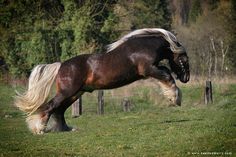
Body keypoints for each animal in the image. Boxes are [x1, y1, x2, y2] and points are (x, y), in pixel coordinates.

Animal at [14, 27, 190, 134]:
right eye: (184, 59)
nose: (186, 78)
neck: (142, 47)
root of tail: (61, 65)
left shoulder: (153, 69)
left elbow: (166, 72)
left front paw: (174, 97)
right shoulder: (148, 70)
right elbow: (167, 75)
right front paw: (175, 98)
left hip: (75, 94)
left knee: (59, 110)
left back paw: (66, 129)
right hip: (68, 92)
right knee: (50, 107)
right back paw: (39, 129)